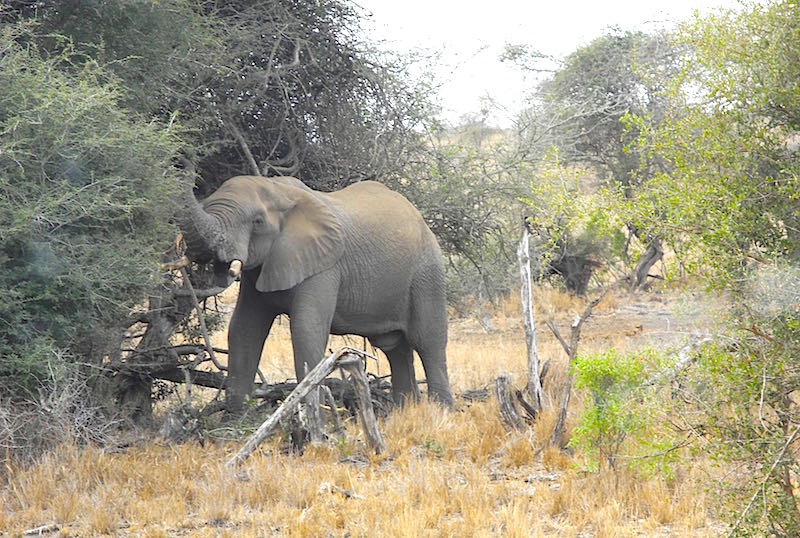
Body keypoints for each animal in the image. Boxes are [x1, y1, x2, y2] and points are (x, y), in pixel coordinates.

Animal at [182, 174, 456, 408]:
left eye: (257, 222)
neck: (278, 191)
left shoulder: (324, 267)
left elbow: (307, 330)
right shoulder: (259, 270)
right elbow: (244, 329)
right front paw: (234, 420)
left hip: (427, 273)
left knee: (428, 342)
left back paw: (441, 412)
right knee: (395, 348)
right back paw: (403, 413)